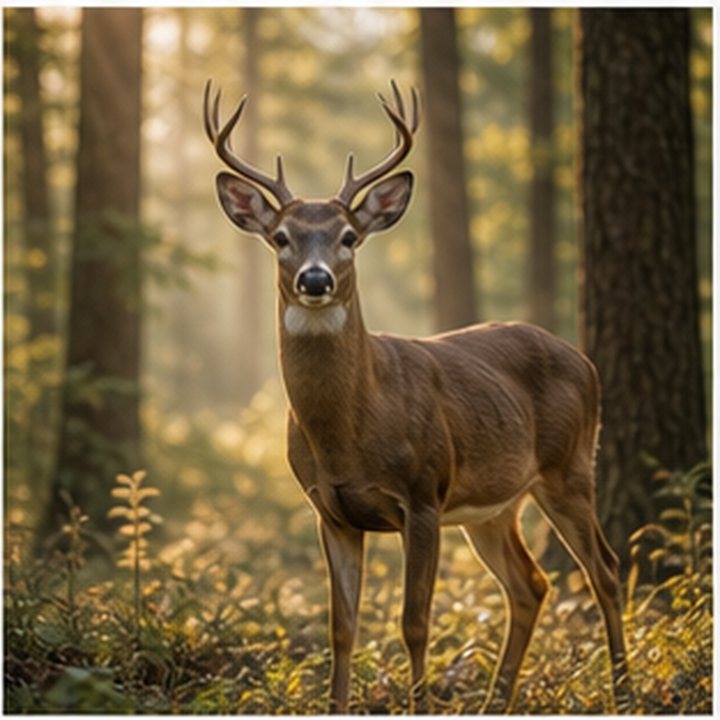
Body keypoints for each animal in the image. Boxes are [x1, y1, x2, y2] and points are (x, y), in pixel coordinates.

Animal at [203, 79, 635, 714]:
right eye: (281, 237)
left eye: (349, 237)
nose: (315, 279)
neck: (350, 429)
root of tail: (584, 359)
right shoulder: (328, 509)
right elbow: (342, 627)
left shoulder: (423, 492)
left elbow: (414, 622)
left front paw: (420, 703)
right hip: (494, 506)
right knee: (530, 584)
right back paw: (495, 702)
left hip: (569, 467)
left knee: (603, 569)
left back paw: (624, 692)